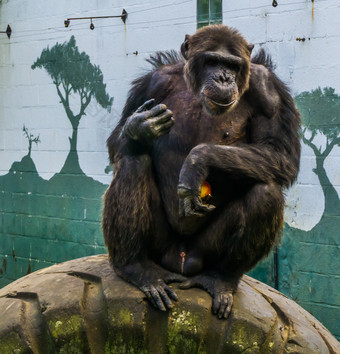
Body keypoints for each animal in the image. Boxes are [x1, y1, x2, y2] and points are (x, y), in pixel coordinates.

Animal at [101, 24, 300, 318]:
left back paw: (220, 279)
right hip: (161, 248)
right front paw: (139, 127)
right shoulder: (152, 83)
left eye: (232, 64)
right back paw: (136, 268)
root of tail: (181, 262)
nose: (223, 77)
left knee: (267, 192)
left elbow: (279, 152)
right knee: (133, 162)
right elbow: (117, 141)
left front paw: (197, 160)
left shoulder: (269, 89)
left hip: (203, 253)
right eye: (212, 61)